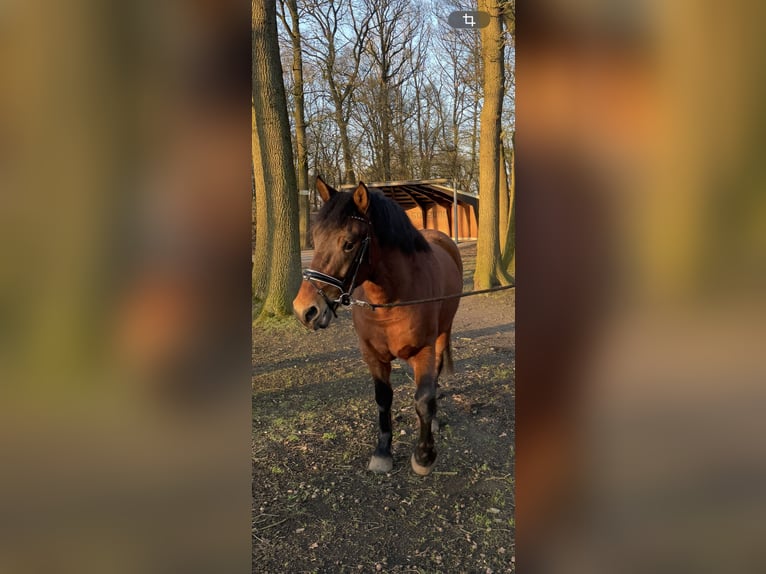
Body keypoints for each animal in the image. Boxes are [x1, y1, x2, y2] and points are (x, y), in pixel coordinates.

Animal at [292, 177, 463, 476]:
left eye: (349, 244)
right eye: (317, 239)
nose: (305, 310)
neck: (391, 302)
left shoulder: (424, 349)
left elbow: (423, 400)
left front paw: (424, 456)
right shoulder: (372, 355)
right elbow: (383, 399)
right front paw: (383, 452)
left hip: (443, 333)